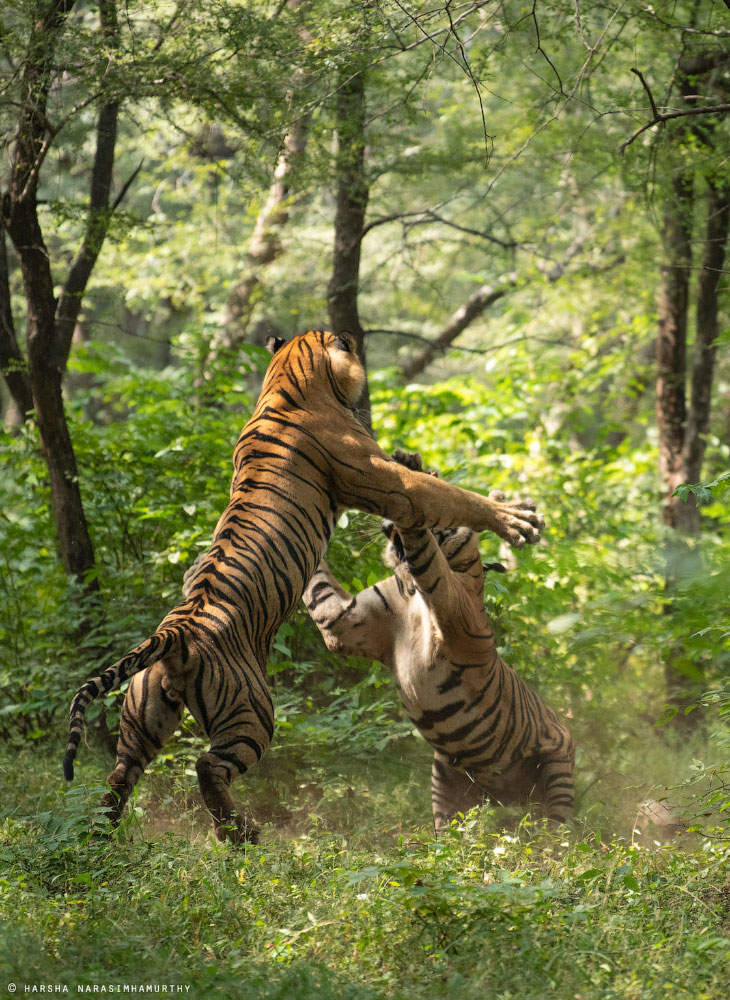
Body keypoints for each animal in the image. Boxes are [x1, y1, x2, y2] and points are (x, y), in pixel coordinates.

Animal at [62, 330, 544, 844]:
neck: (287, 381)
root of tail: (175, 634)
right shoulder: (392, 485)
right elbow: (455, 497)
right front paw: (518, 518)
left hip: (143, 717)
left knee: (119, 775)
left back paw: (103, 837)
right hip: (252, 712)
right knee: (207, 766)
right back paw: (241, 834)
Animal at [302, 452, 576, 828]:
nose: (386, 525)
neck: (410, 590)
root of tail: (508, 798)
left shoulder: (451, 602)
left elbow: (426, 551)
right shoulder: (344, 622)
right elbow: (316, 586)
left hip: (557, 770)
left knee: (561, 830)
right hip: (445, 783)